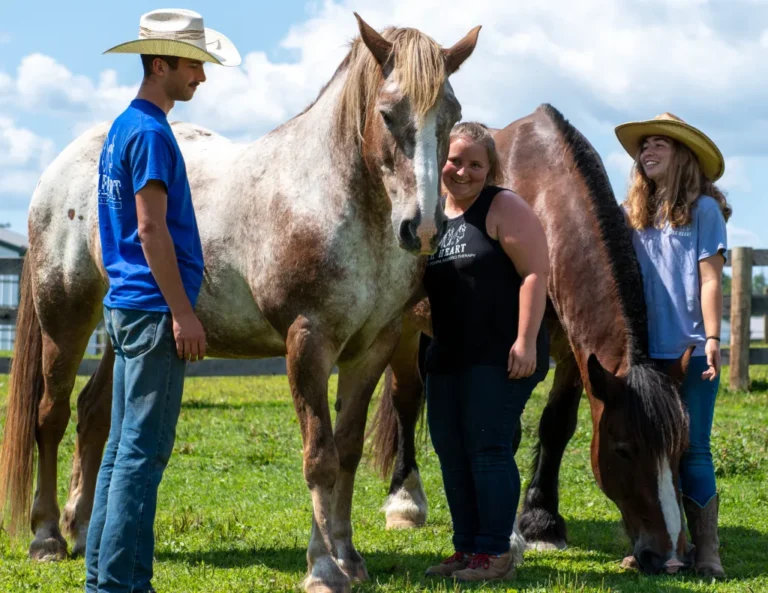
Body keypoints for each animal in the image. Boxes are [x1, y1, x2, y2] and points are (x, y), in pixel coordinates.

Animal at [0, 13, 480, 592]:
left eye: (452, 115)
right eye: (387, 114)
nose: (423, 227)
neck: (336, 201)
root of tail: (59, 169)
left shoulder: (372, 349)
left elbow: (345, 451)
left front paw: (347, 556)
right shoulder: (308, 343)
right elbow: (318, 457)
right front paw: (322, 568)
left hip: (123, 335)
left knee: (93, 414)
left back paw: (81, 524)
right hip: (66, 315)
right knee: (50, 415)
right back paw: (46, 536)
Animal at [368, 103, 692, 572]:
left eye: (680, 452)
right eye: (623, 449)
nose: (669, 558)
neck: (542, 195)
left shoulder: (576, 355)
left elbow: (556, 425)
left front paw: (542, 523)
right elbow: (505, 434)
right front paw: (511, 534)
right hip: (406, 331)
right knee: (406, 401)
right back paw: (405, 502)